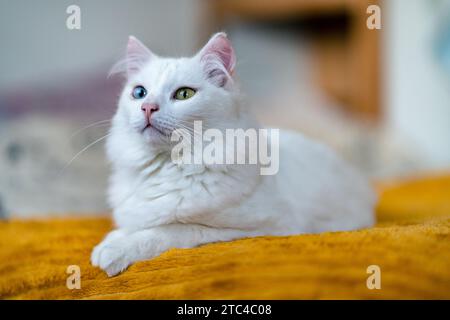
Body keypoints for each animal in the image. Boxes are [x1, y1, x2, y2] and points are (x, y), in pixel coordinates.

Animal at [89, 33, 374, 278]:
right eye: (139, 93)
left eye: (184, 94)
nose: (148, 107)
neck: (167, 164)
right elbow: (131, 226)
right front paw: (110, 242)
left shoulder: (254, 227)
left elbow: (166, 230)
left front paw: (115, 252)